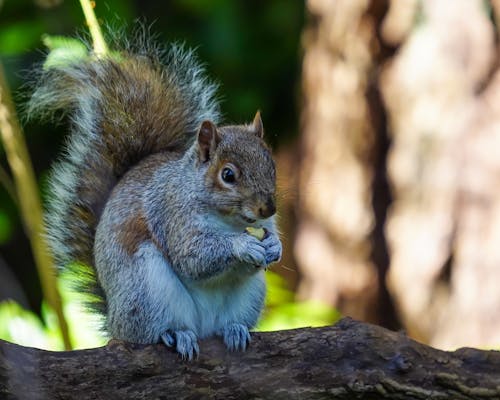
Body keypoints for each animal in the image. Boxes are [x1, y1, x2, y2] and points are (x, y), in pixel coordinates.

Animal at [28, 32, 282, 360]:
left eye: (271, 164)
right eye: (228, 175)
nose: (268, 208)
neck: (229, 220)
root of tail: (114, 318)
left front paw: (274, 247)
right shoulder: (171, 214)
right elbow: (193, 257)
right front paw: (242, 245)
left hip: (248, 296)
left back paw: (234, 330)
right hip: (146, 292)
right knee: (150, 333)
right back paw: (175, 334)